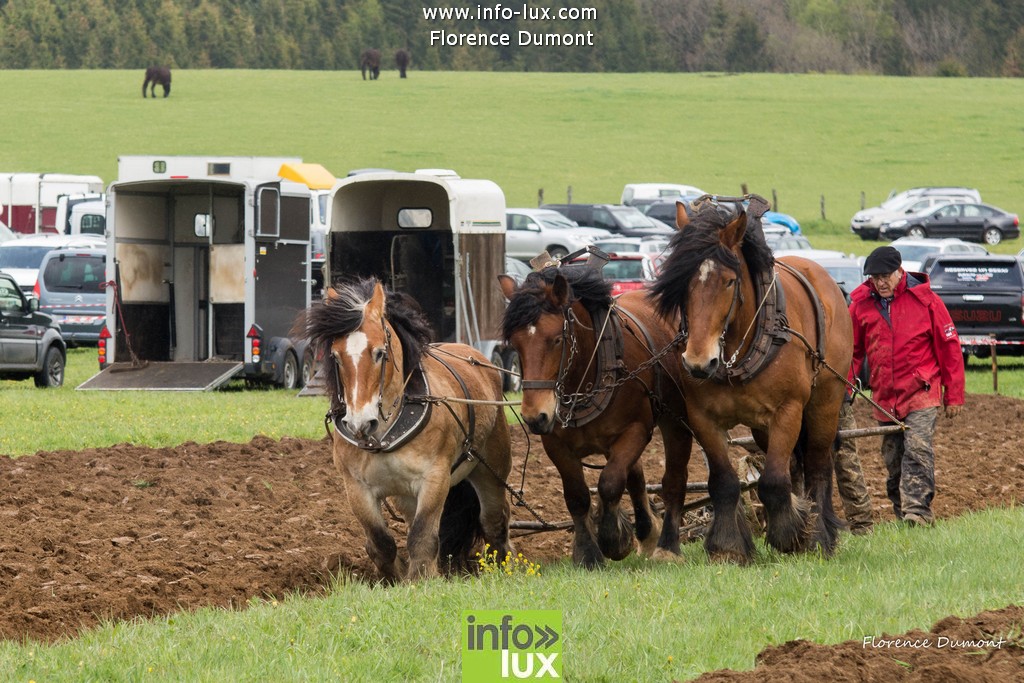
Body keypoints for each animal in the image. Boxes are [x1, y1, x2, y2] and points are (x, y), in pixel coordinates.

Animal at [301, 278, 512, 581]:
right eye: (336, 357)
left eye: (379, 353)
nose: (359, 424)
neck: (383, 436)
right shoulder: (356, 487)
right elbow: (380, 542)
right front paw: (398, 578)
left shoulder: (435, 478)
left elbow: (422, 537)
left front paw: (422, 579)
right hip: (405, 495)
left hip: (491, 469)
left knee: (495, 521)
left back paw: (507, 567)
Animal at [497, 264, 692, 569]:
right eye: (515, 344)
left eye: (557, 339)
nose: (533, 417)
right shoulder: (556, 444)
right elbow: (577, 495)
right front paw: (587, 553)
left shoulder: (636, 430)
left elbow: (610, 482)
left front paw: (613, 539)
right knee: (635, 476)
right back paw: (647, 532)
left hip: (676, 420)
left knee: (672, 477)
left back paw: (666, 545)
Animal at [651, 194, 851, 565]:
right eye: (681, 280)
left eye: (729, 281)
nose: (698, 362)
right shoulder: (703, 419)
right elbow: (724, 481)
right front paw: (728, 547)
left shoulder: (788, 411)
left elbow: (772, 480)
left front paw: (790, 536)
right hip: (762, 428)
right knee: (795, 466)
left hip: (825, 403)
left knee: (818, 464)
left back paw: (820, 533)